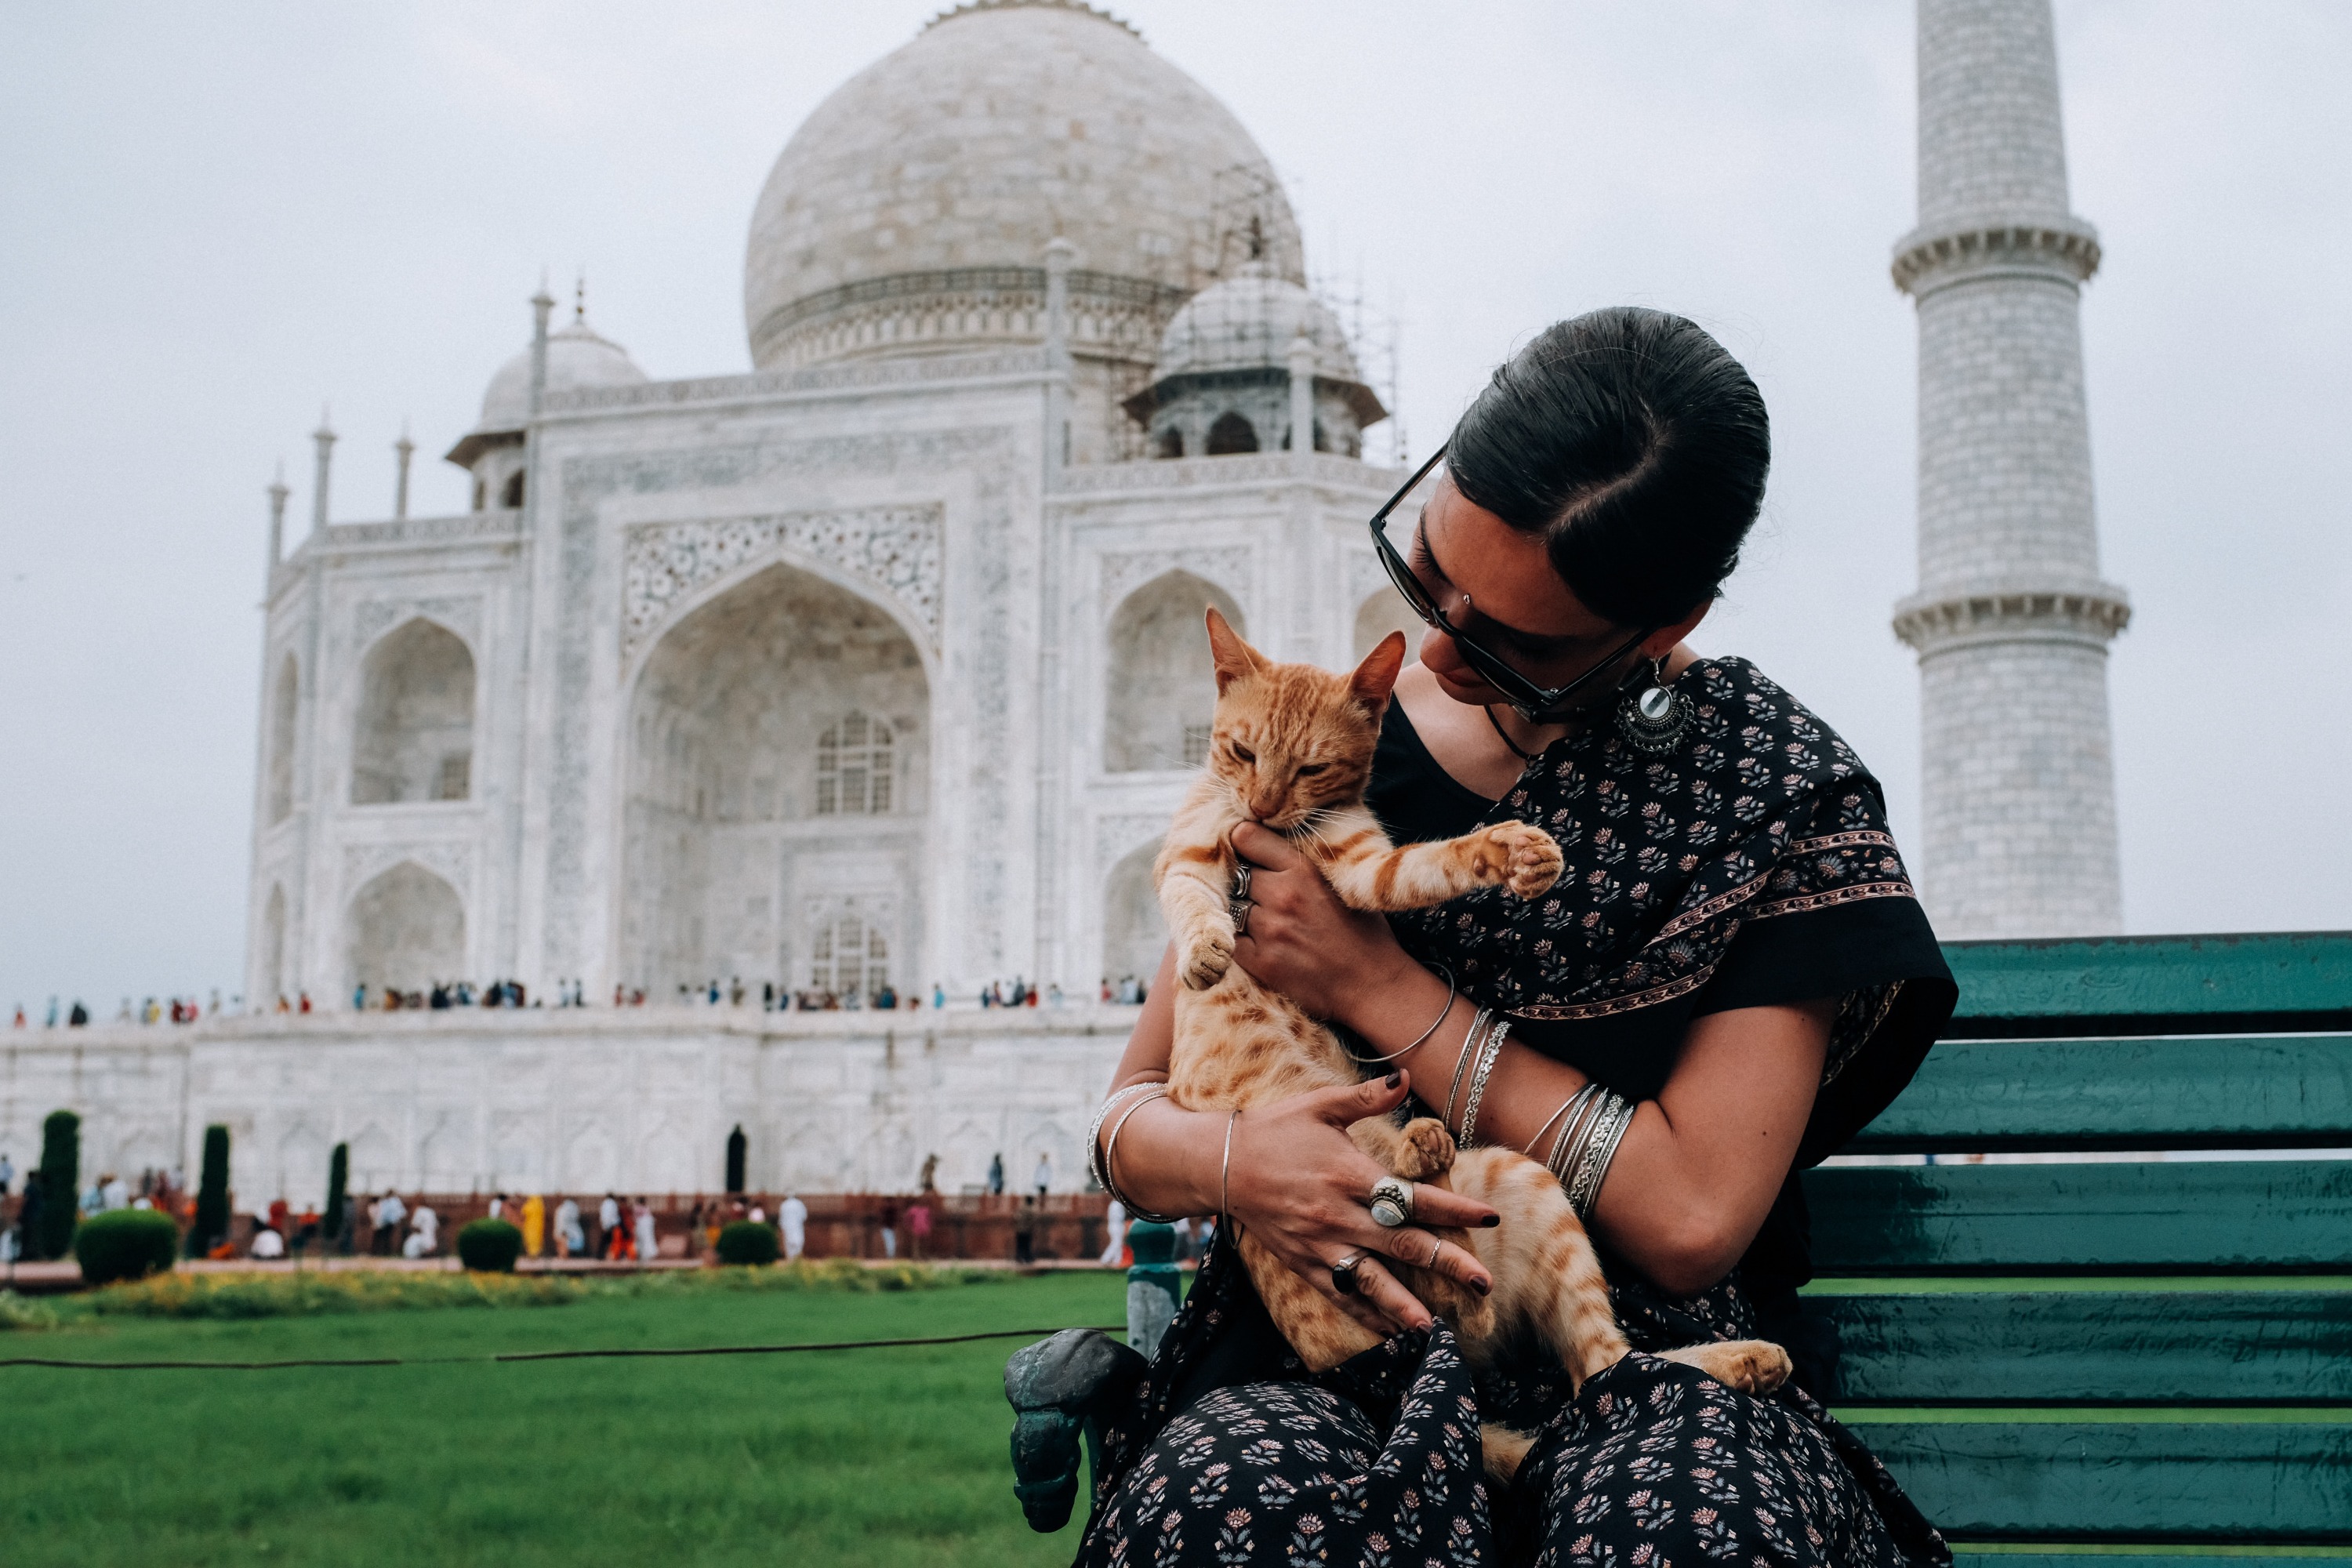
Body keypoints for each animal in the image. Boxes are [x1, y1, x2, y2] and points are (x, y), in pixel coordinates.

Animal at [1167, 615, 1788, 1486]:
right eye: (1240, 750)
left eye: (1312, 767)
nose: (1261, 803)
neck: (1283, 833)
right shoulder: (1188, 851)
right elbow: (1191, 898)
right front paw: (1206, 953)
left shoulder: (1360, 869)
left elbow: (1426, 863)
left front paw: (1511, 851)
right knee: (1499, 1326)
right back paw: (1421, 1156)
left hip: (1523, 1186)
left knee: (1589, 1362)